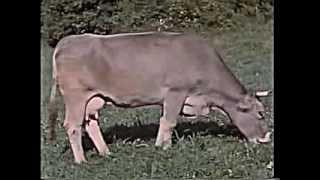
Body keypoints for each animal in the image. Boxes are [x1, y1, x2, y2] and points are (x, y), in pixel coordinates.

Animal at [48, 31, 270, 164]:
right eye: (260, 114)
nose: (267, 138)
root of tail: (67, 41)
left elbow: (165, 121)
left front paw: (161, 145)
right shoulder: (176, 92)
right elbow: (169, 122)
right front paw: (164, 148)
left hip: (94, 99)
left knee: (91, 123)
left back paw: (106, 152)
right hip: (75, 96)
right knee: (73, 126)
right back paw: (81, 161)